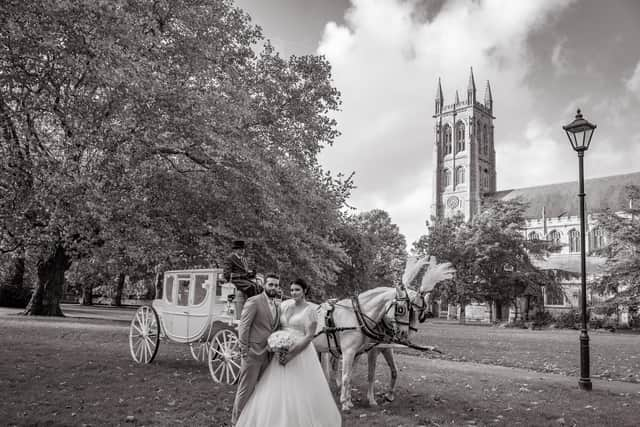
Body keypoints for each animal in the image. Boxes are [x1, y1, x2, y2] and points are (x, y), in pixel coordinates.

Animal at [314, 256, 456, 412]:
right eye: (402, 309)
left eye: (421, 314)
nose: (405, 335)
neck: (360, 316)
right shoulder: (366, 350)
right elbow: (368, 374)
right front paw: (366, 400)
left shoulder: (381, 348)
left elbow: (392, 371)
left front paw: (388, 395)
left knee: (333, 363)